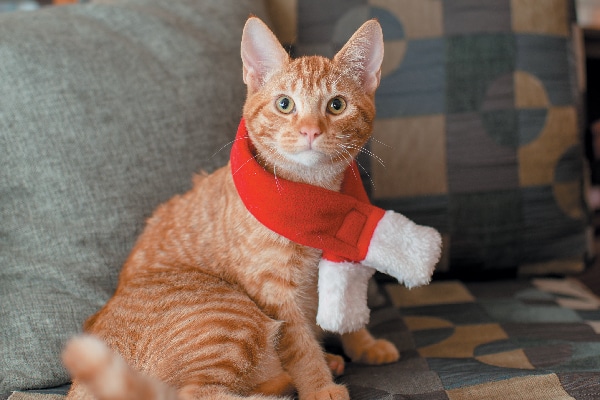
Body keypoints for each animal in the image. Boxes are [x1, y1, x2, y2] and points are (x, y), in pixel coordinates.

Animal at [63, 16, 396, 400]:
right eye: (285, 104)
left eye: (337, 106)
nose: (310, 131)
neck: (314, 198)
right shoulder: (275, 293)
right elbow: (300, 347)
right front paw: (318, 385)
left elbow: (346, 310)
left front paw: (363, 344)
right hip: (229, 312)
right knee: (195, 392)